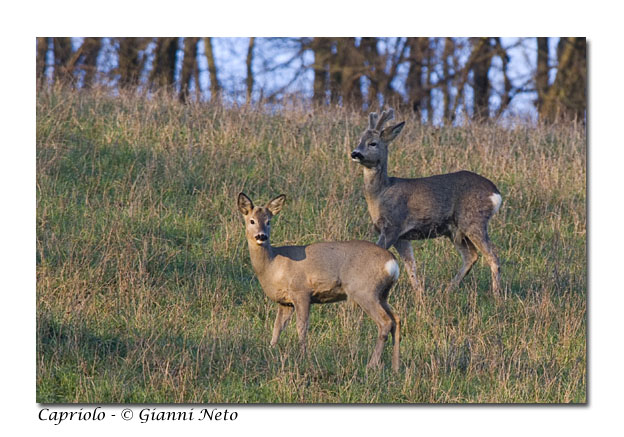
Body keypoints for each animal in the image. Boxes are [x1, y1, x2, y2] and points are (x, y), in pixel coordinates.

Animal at [236, 192, 402, 370]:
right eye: (252, 220)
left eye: (269, 221)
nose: (261, 236)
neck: (272, 266)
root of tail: (392, 263)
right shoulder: (285, 302)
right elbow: (277, 327)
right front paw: (271, 349)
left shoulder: (301, 292)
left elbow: (301, 326)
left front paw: (302, 357)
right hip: (382, 294)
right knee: (396, 320)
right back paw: (395, 367)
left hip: (364, 291)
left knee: (385, 322)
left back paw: (371, 365)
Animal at [352, 107, 502, 294]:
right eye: (359, 140)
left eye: (373, 143)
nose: (355, 153)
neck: (380, 194)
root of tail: (496, 193)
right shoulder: (402, 236)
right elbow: (411, 266)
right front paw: (419, 294)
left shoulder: (393, 225)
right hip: (454, 229)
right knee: (471, 256)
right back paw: (447, 290)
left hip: (473, 219)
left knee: (493, 255)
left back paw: (497, 295)